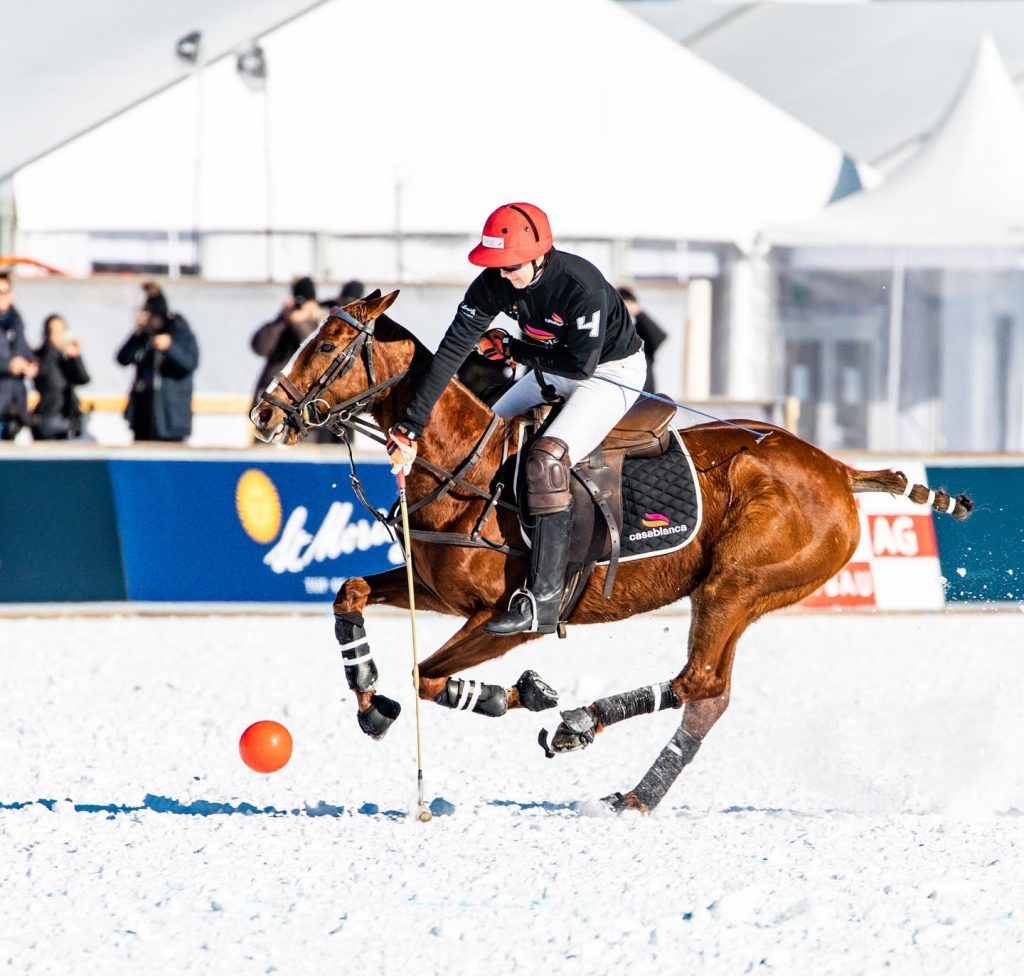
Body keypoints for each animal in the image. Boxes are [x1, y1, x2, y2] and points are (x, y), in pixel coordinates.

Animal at [251, 292, 970, 811]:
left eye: (329, 344)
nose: (264, 414)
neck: (464, 468)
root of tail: (839, 470)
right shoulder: (434, 590)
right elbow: (350, 595)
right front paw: (372, 701)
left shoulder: (510, 618)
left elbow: (425, 674)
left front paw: (524, 692)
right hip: (742, 591)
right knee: (709, 694)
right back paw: (627, 786)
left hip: (736, 584)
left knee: (699, 682)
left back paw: (588, 734)